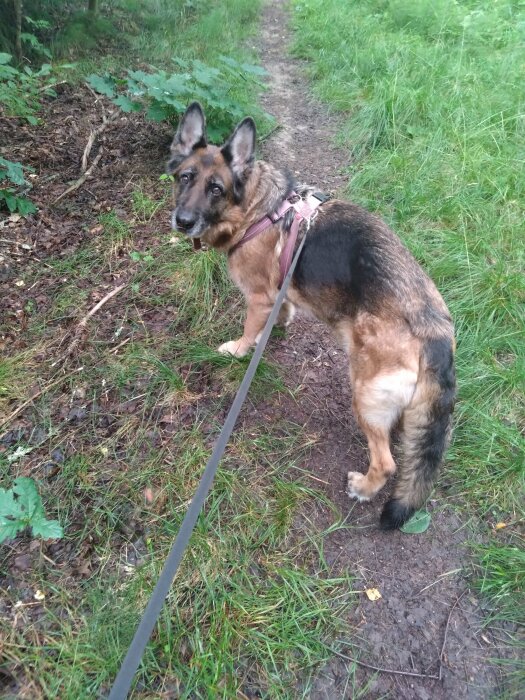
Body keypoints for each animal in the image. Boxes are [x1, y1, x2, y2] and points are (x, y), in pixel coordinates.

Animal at [168, 102, 454, 532]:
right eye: (186, 178)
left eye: (215, 188)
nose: (182, 221)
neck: (259, 208)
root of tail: (433, 329)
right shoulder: (277, 292)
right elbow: (283, 308)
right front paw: (280, 325)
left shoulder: (257, 300)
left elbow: (248, 332)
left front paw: (239, 349)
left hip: (364, 395)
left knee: (386, 462)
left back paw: (364, 487)